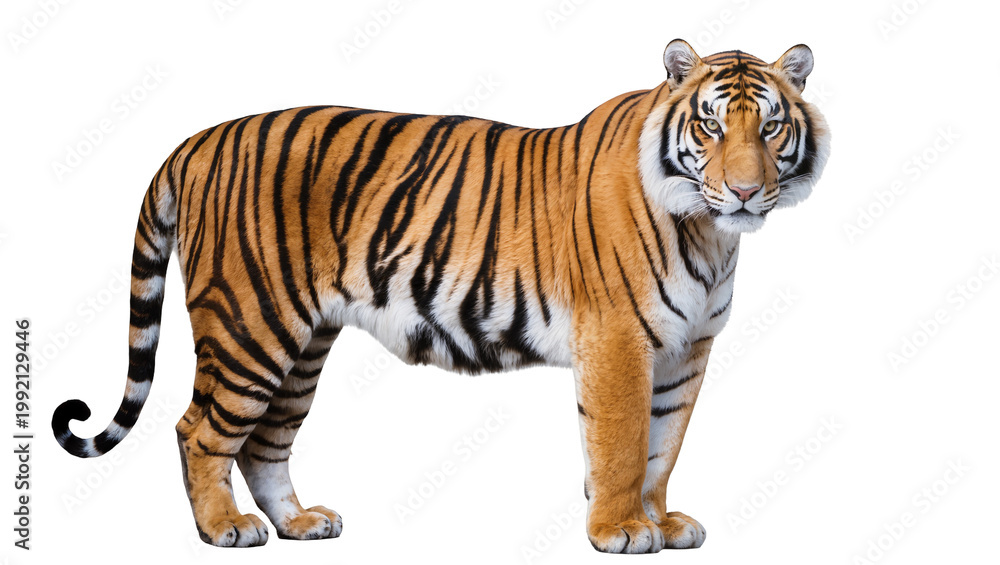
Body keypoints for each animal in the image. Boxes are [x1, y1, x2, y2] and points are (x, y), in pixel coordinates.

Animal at [52, 39, 829, 553]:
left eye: (770, 125)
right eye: (710, 125)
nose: (744, 191)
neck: (709, 233)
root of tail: (197, 138)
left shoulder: (686, 349)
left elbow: (664, 444)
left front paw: (661, 522)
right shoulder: (617, 340)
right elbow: (622, 443)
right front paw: (621, 530)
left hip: (302, 342)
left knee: (265, 441)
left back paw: (300, 523)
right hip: (250, 325)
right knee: (199, 430)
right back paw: (224, 529)